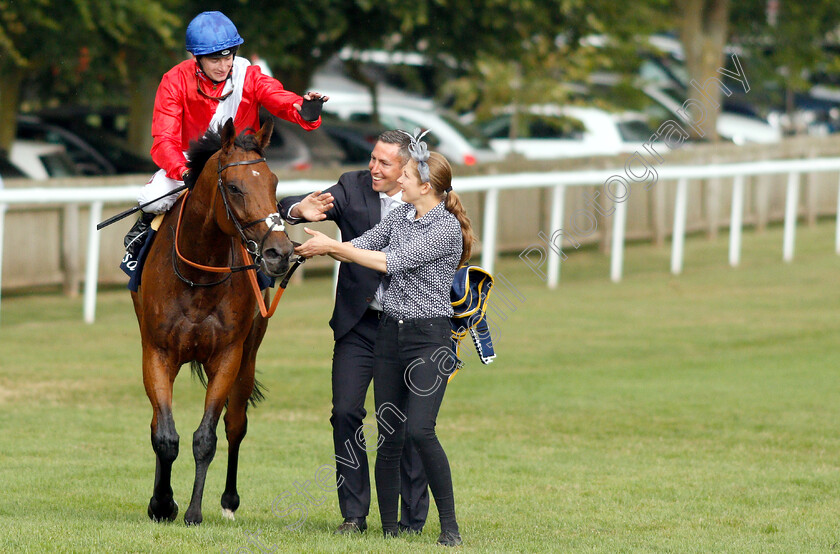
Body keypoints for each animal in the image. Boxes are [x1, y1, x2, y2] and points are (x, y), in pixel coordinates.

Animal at [130, 118, 290, 524]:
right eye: (233, 187)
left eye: (273, 183)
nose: (280, 253)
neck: (198, 277)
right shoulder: (157, 353)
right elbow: (164, 435)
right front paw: (162, 503)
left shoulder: (228, 357)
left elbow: (206, 437)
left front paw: (193, 510)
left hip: (249, 357)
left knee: (236, 426)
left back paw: (229, 501)